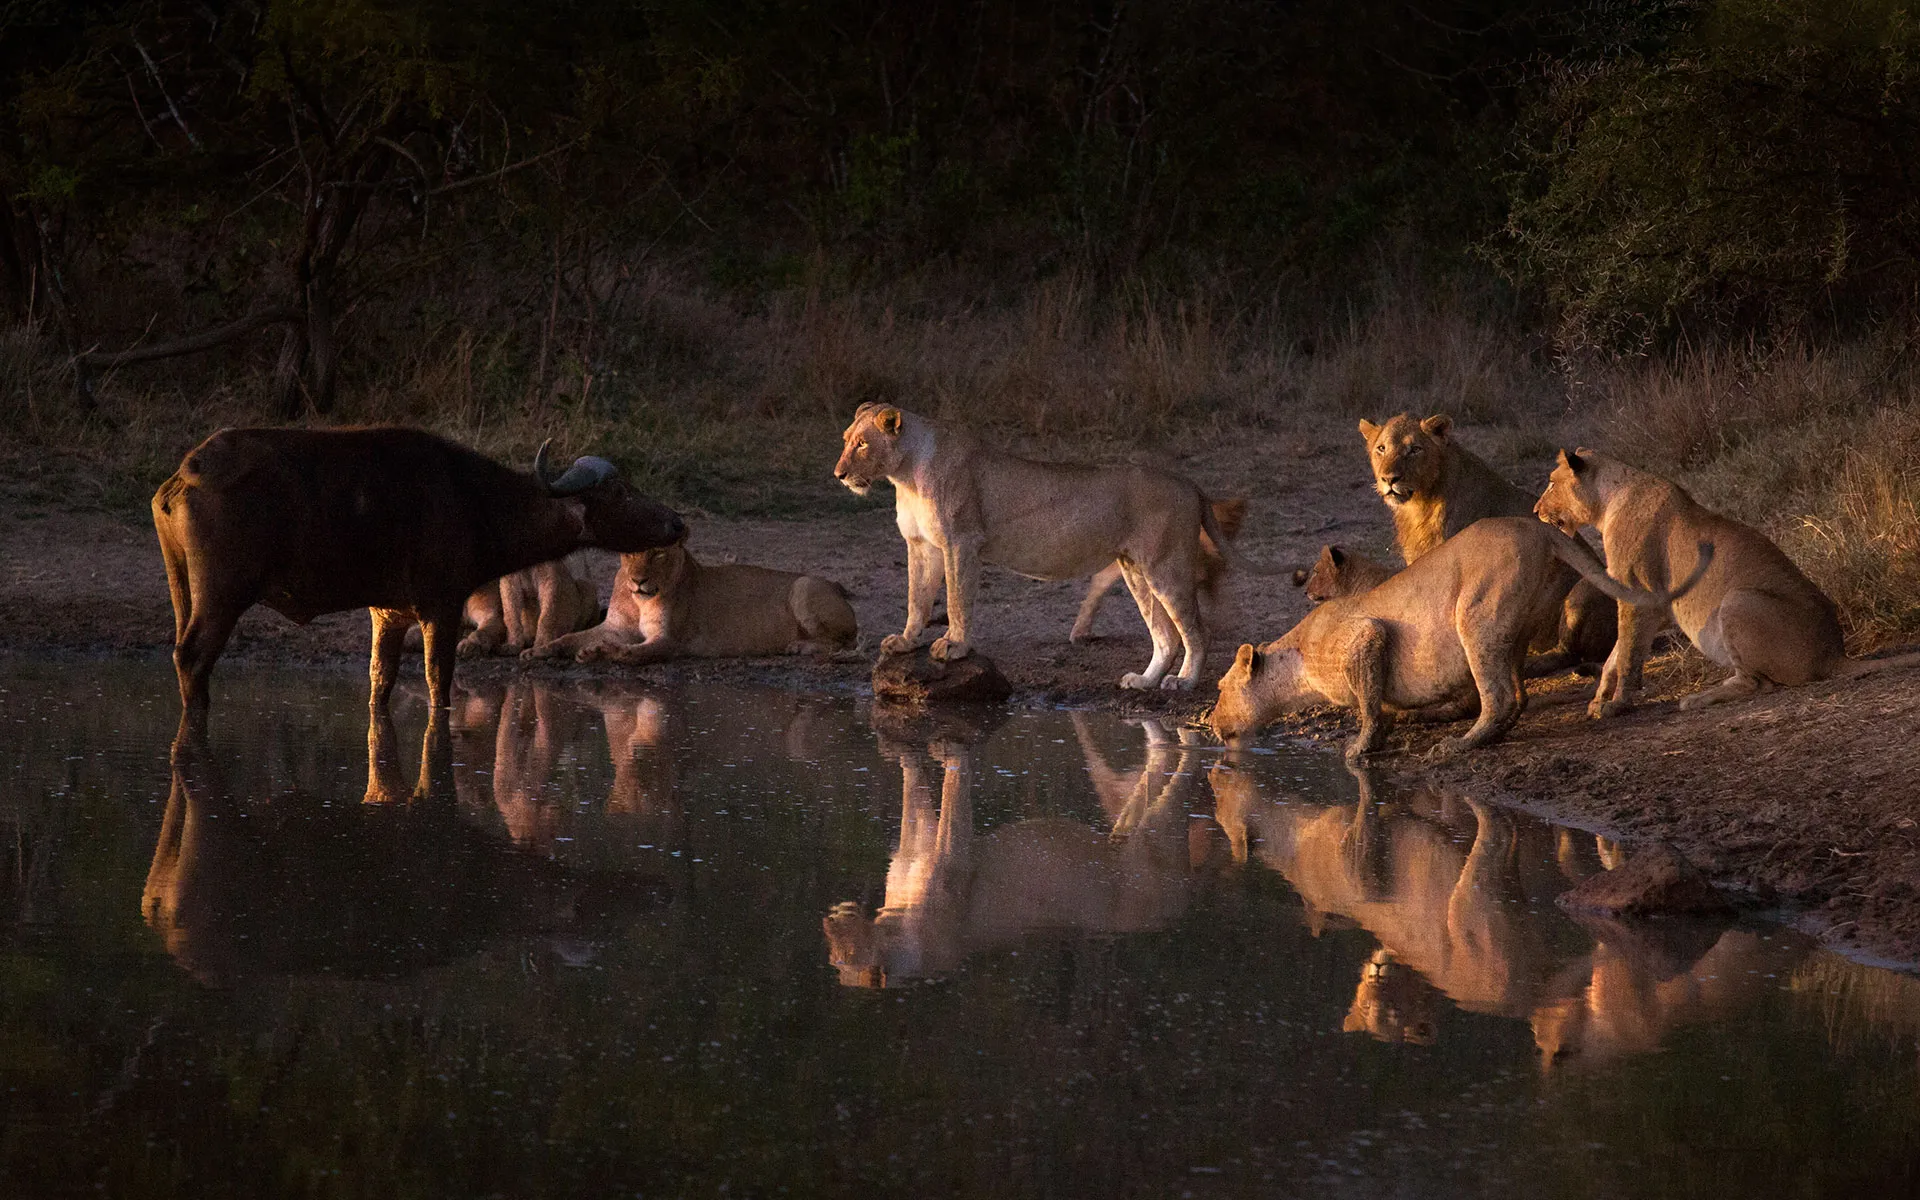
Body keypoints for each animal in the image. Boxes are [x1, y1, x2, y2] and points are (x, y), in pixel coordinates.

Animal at [522, 539, 857, 663]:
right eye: (630, 553)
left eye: (658, 553)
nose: (638, 581)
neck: (639, 601)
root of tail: (836, 584)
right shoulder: (615, 626)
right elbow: (570, 637)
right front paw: (539, 650)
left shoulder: (670, 641)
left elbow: (634, 653)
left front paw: (600, 652)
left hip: (804, 585)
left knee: (845, 643)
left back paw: (800, 646)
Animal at [1207, 516, 1712, 760]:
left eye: (1219, 688)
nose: (1210, 724)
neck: (1296, 668)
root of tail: (1538, 526)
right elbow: (1381, 705)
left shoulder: (1366, 636)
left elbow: (1369, 705)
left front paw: (1359, 749)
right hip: (1513, 630)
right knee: (1519, 694)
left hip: (1475, 616)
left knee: (1501, 696)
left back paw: (1459, 745)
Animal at [1359, 412, 1616, 675]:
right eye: (1381, 449)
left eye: (1414, 449)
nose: (1389, 479)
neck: (1420, 505)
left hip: (1583, 590)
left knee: (1569, 653)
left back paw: (1533, 665)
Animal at [1535, 447, 1920, 716]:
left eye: (1551, 483)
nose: (1536, 511)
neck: (1608, 499)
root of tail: (1835, 654)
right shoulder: (1654, 607)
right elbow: (1615, 655)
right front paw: (1599, 698)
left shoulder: (1638, 597)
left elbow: (1628, 655)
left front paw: (1616, 705)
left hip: (1737, 599)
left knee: (1759, 683)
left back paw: (1697, 698)